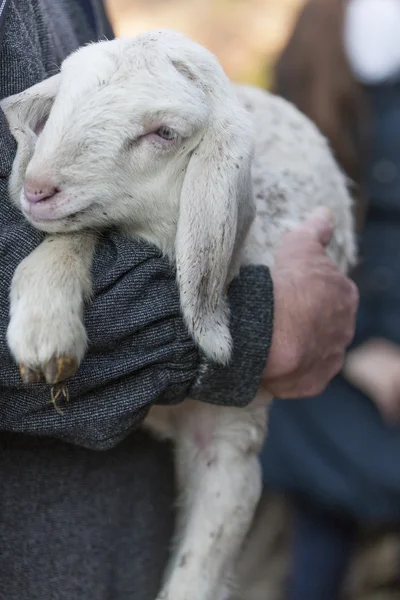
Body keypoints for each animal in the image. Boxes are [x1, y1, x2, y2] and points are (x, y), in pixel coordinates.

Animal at [2, 30, 356, 600]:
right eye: (60, 104)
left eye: (164, 133)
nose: (36, 188)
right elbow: (76, 233)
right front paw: (45, 327)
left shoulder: (230, 446)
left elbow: (196, 575)